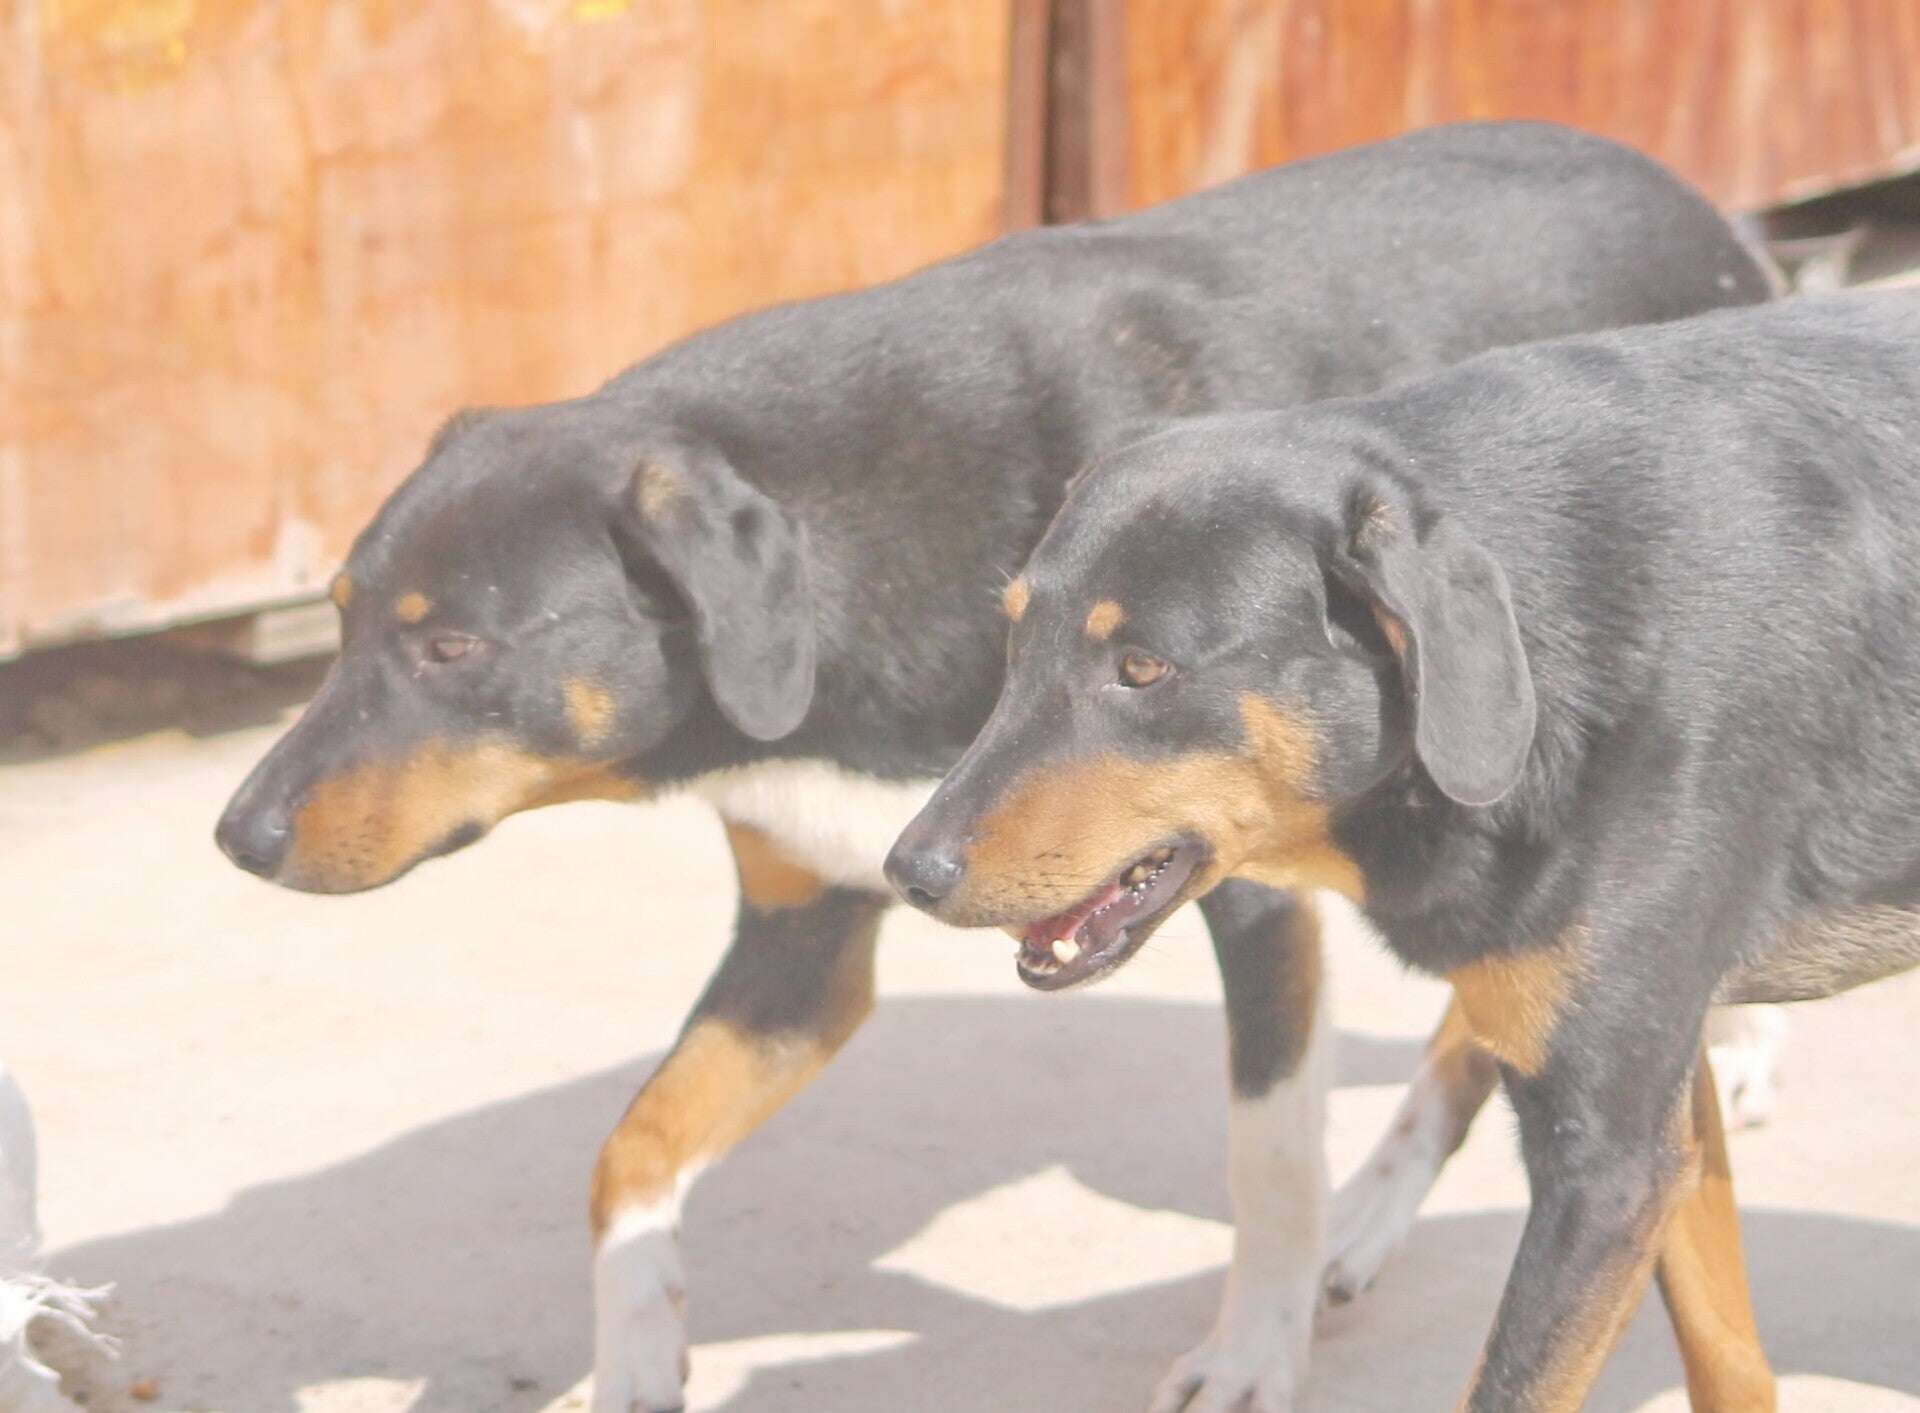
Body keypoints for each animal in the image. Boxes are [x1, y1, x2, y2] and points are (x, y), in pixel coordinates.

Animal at [214, 122, 1772, 1412]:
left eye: (452, 647)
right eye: (342, 618)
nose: (239, 836)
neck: (848, 559)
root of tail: (1706, 208)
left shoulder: (1253, 892)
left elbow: (1269, 1158)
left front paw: (1250, 1356)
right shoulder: (803, 936)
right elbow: (630, 1153)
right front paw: (640, 1347)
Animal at [888, 291, 1920, 1410]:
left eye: (1143, 667)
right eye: (1014, 641)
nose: (909, 871)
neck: (1538, 646)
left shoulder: (1608, 1166)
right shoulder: (1650, 1128)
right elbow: (1726, 1355)